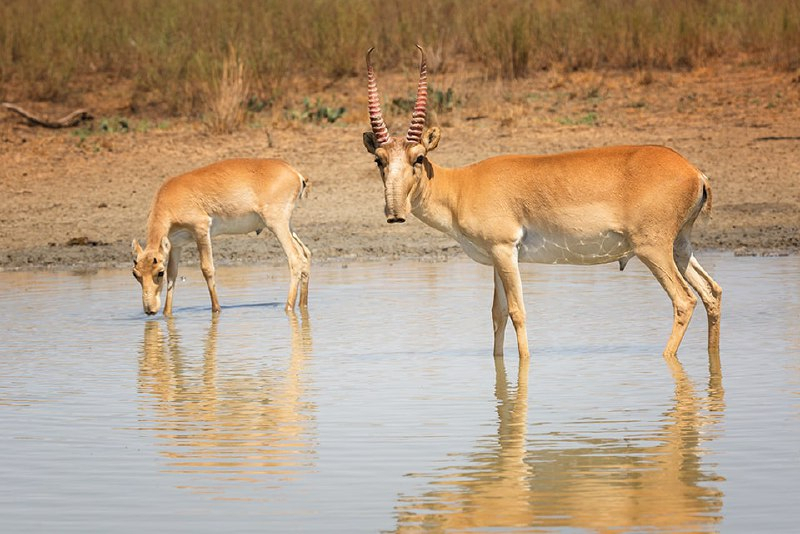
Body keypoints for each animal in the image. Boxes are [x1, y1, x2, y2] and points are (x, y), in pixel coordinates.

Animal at [131, 159, 310, 318]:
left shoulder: (201, 230)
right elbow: (173, 275)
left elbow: (207, 269)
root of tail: (295, 173)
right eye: (135, 274)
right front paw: (167, 313)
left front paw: (216, 309)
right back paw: (302, 304)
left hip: (277, 224)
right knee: (305, 254)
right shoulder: (176, 245)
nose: (150, 310)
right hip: (287, 225)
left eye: (159, 272)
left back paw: (288, 307)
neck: (169, 197)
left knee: (295, 258)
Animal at [362, 48, 720, 362]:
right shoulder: (497, 259)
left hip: (653, 250)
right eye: (379, 159)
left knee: (684, 301)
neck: (461, 186)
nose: (395, 213)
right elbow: (497, 314)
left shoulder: (505, 250)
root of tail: (694, 172)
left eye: (419, 157)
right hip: (680, 248)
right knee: (711, 292)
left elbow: (517, 312)